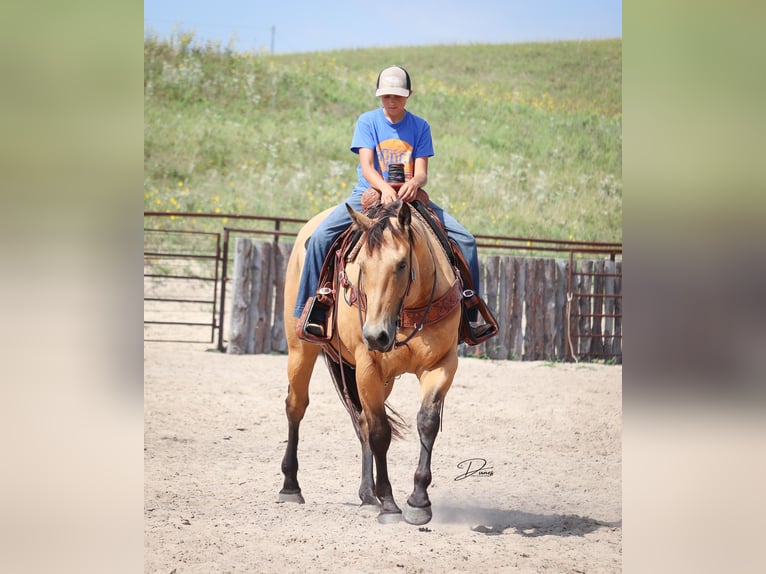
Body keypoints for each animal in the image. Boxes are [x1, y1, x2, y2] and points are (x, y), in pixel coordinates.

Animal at [280, 199, 464, 528]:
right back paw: (290, 487)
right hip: (301, 348)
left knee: (361, 420)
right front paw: (389, 504)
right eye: (362, 267)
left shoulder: (442, 364)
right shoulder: (368, 367)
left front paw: (418, 501)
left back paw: (367, 496)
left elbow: (426, 422)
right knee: (296, 406)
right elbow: (380, 432)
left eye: (402, 265)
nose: (376, 335)